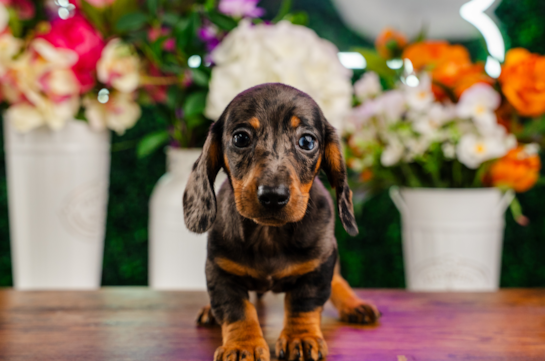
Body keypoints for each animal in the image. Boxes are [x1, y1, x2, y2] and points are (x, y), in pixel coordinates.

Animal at [183, 83, 378, 358]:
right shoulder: (219, 269)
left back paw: (354, 304)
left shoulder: (319, 265)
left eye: (307, 141)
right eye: (240, 138)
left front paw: (301, 338)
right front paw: (244, 345)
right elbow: (236, 309)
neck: (269, 234)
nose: (273, 196)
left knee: (338, 281)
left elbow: (303, 303)